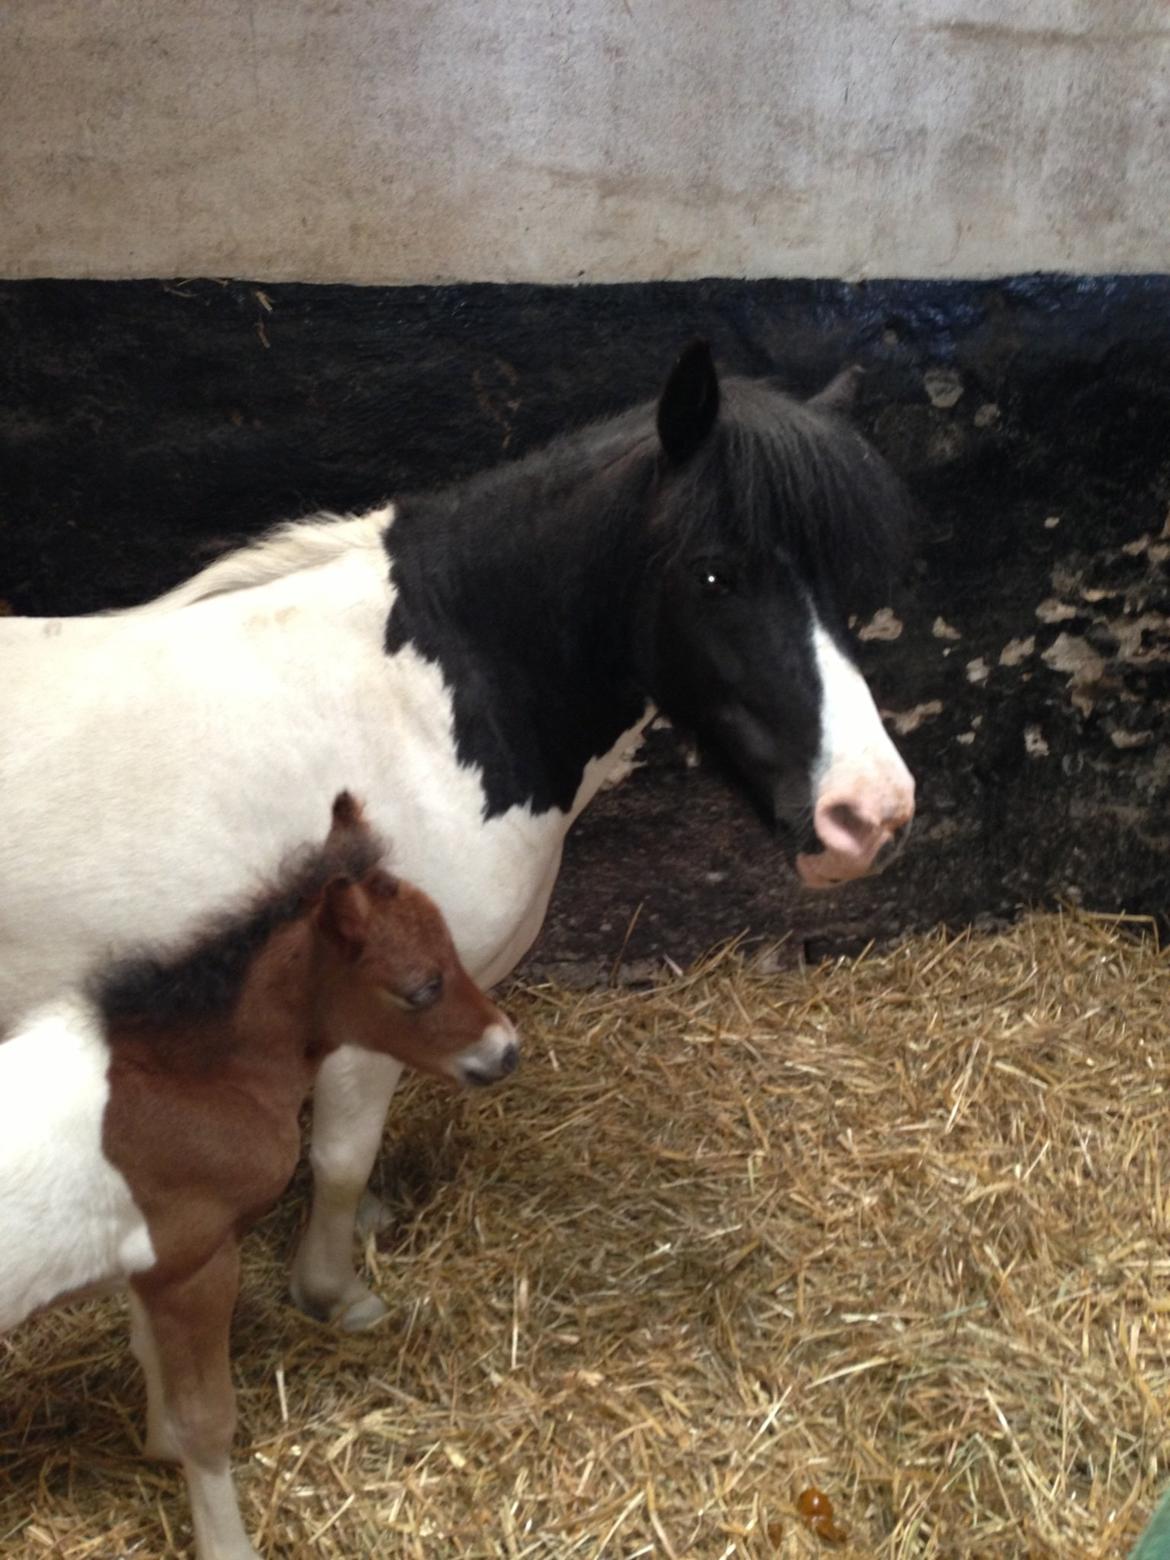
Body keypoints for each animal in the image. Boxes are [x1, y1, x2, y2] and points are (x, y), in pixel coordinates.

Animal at [0, 344, 917, 1329]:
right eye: (714, 574)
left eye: (838, 579)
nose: (872, 813)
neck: (422, 711)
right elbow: (339, 1158)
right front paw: (335, 1293)